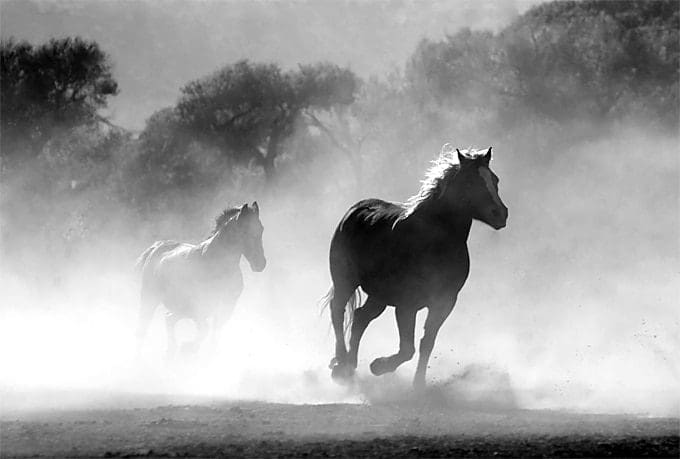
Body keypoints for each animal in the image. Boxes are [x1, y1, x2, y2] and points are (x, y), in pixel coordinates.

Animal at [135, 202, 266, 356]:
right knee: (143, 328)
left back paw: (171, 352)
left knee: (169, 319)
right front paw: (188, 348)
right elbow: (205, 331)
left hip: (181, 308)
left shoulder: (225, 308)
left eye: (261, 229)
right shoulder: (199, 308)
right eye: (245, 231)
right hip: (150, 299)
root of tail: (157, 247)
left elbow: (213, 336)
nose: (261, 264)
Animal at [323, 144, 507, 389]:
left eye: (495, 180)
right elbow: (407, 348)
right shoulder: (406, 305)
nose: (501, 214)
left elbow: (426, 343)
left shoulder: (444, 302)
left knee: (360, 318)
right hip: (345, 281)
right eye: (470, 182)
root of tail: (355, 210)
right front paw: (379, 366)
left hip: (379, 296)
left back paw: (350, 365)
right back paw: (341, 364)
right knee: (338, 310)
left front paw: (418, 385)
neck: (435, 242)